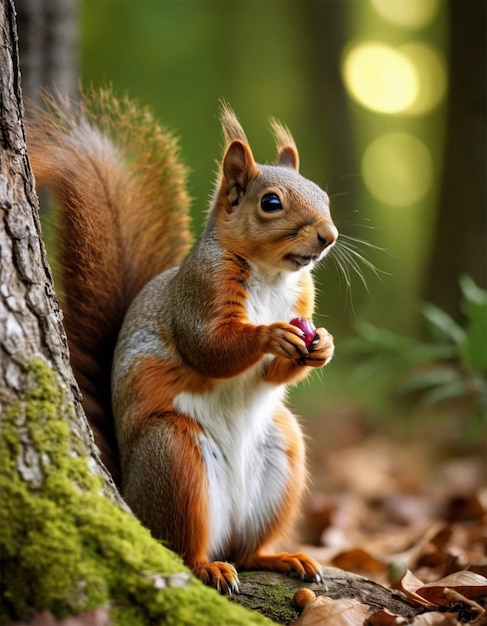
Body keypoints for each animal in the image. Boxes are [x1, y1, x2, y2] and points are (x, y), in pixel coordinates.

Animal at [26, 90, 338, 592]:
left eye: (324, 197)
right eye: (271, 202)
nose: (329, 237)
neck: (270, 276)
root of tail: (129, 497)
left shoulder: (300, 299)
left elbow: (275, 371)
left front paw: (323, 345)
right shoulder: (199, 292)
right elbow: (210, 348)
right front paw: (271, 334)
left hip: (281, 457)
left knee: (247, 551)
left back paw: (281, 557)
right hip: (174, 456)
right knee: (182, 549)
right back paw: (208, 567)